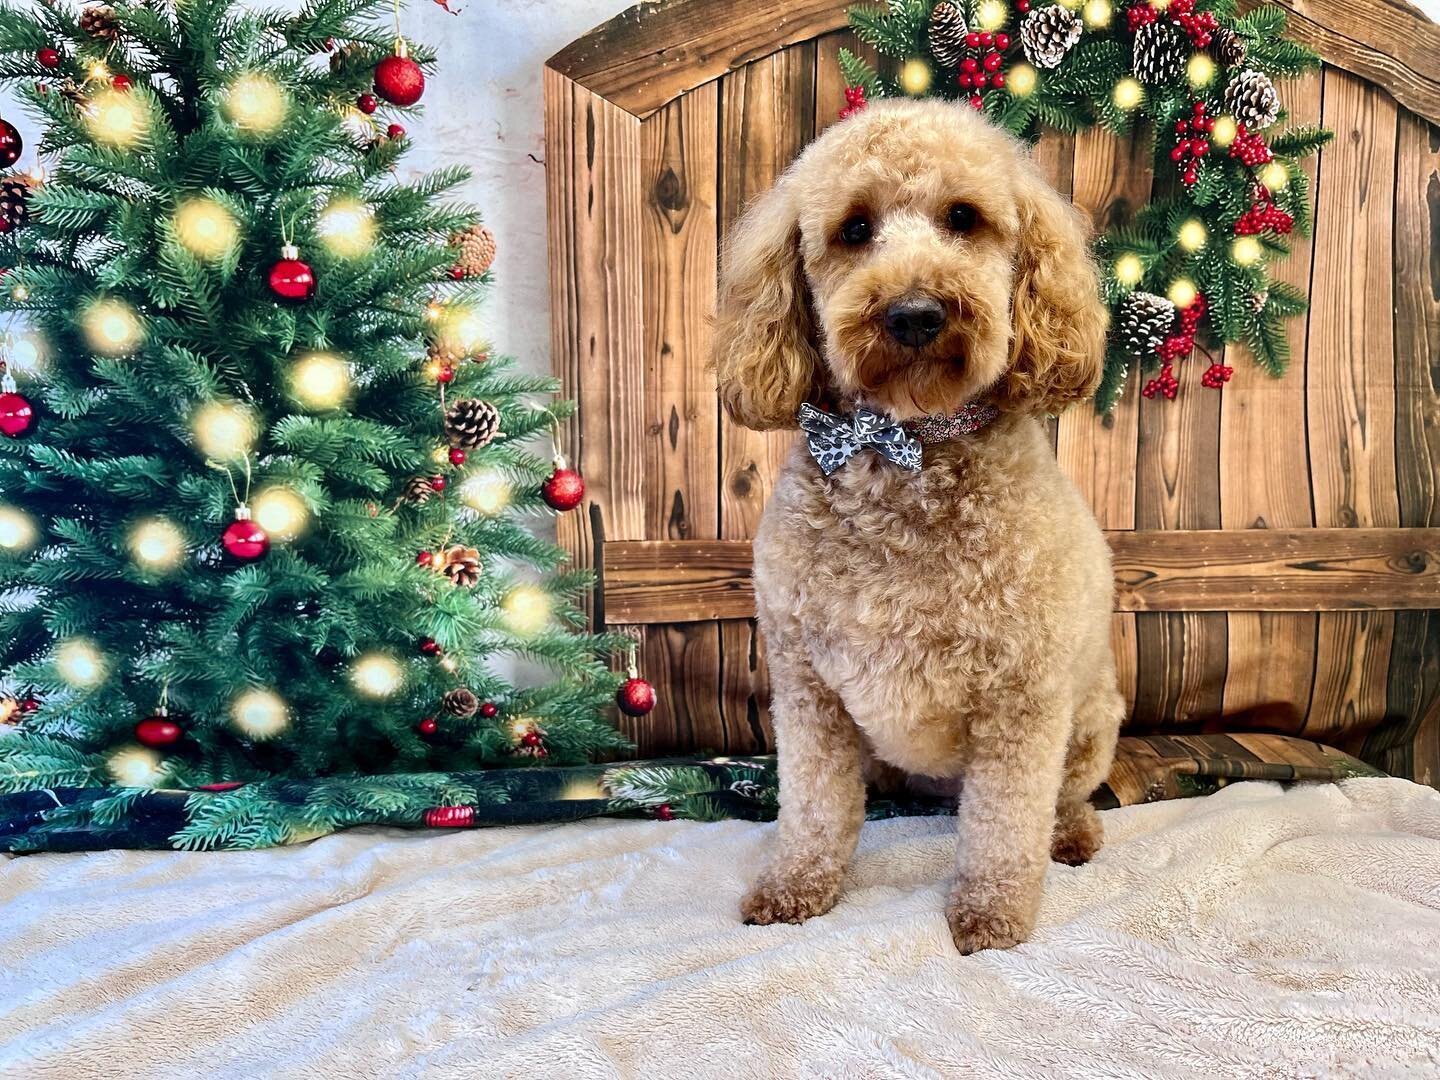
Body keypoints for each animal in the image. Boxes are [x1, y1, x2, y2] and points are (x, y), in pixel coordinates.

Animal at [714, 97, 1128, 950]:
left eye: (963, 217)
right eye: (854, 229)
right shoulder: (807, 690)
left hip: (1090, 721)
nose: (914, 313)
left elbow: (1004, 823)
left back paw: (1069, 834)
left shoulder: (1022, 699)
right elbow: (812, 808)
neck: (901, 451)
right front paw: (796, 886)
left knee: (1061, 798)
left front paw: (992, 912)